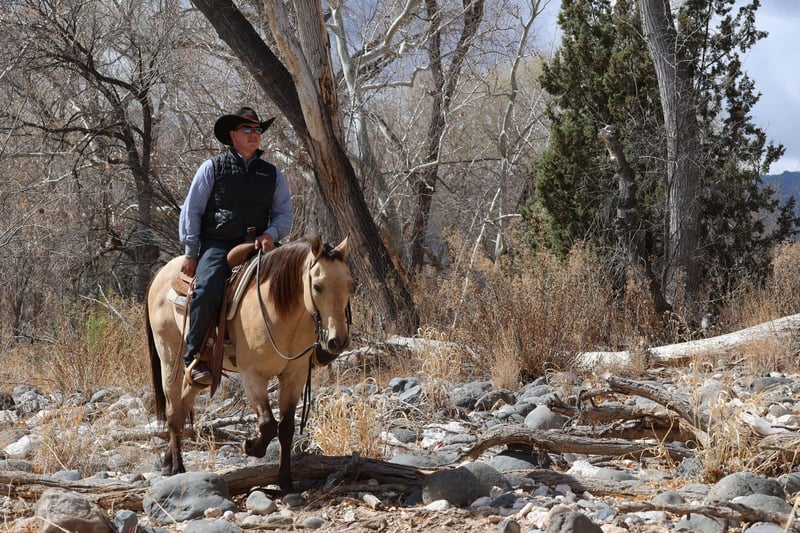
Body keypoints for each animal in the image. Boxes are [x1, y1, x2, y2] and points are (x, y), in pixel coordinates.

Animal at [146, 236, 353, 493]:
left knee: (184, 403)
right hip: (169, 355)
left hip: (196, 372)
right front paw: (252, 447)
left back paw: (167, 461)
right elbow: (268, 423)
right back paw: (176, 467)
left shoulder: (294, 375)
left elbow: (285, 428)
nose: (337, 341)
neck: (278, 311)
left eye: (350, 284)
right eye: (317, 286)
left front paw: (286, 481)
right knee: (173, 410)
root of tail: (160, 274)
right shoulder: (252, 375)